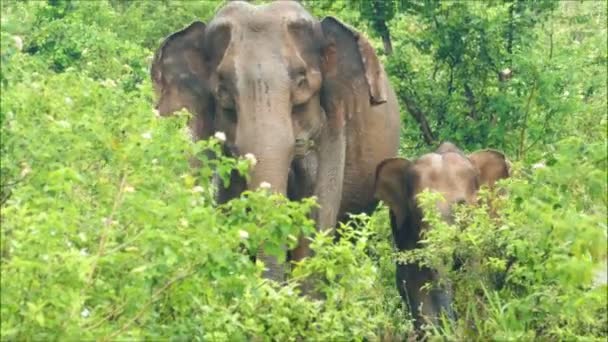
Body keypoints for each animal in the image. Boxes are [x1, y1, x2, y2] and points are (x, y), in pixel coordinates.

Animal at [376, 142, 508, 332]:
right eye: (417, 209)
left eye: (462, 207)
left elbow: (475, 275)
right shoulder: (403, 233)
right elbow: (414, 283)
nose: (448, 320)